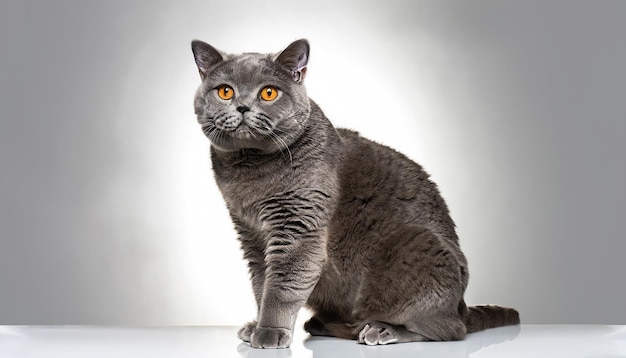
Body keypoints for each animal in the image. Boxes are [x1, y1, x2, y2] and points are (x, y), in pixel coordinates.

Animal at [189, 39, 516, 350]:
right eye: (225, 91)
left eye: (269, 93)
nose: (242, 107)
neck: (248, 173)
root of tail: (462, 306)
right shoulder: (251, 233)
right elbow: (261, 283)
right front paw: (257, 325)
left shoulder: (299, 226)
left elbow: (282, 284)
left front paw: (269, 332)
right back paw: (325, 324)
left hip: (418, 247)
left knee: (447, 330)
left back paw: (381, 329)